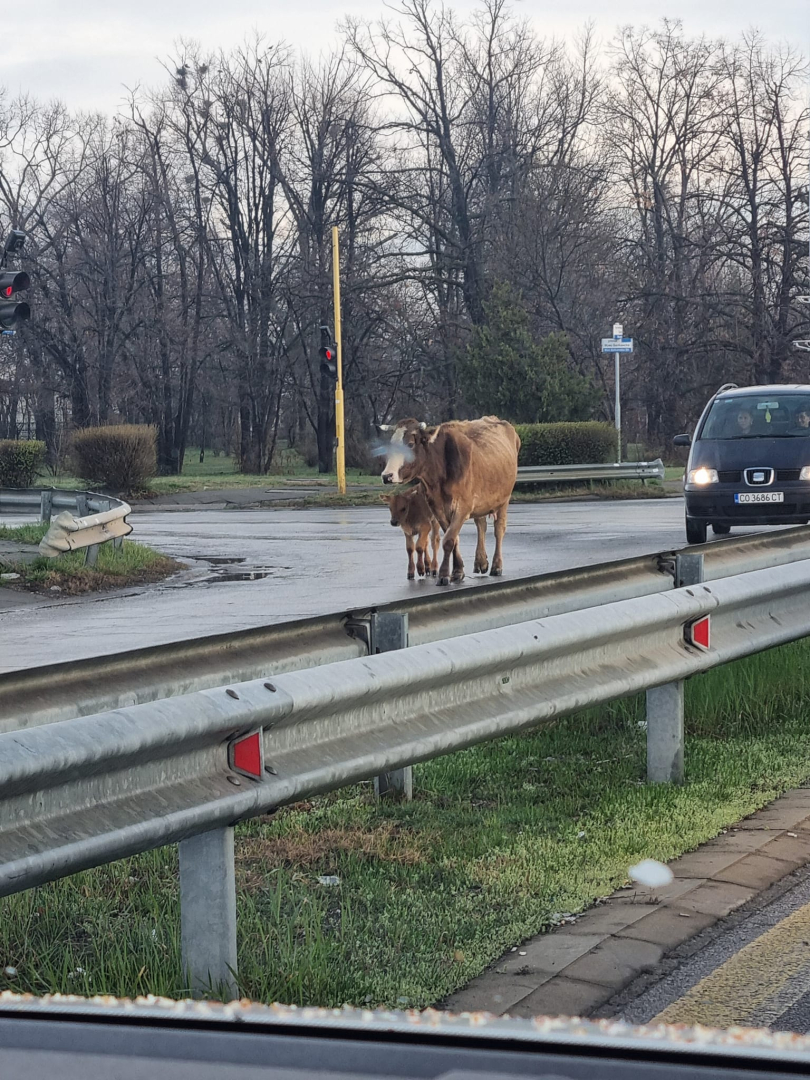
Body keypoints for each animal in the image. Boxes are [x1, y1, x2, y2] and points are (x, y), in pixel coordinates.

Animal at [380, 414, 520, 587]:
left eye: (411, 444)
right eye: (390, 445)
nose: (387, 476)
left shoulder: (463, 507)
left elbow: (448, 540)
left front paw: (444, 574)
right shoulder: (437, 508)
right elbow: (453, 538)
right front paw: (457, 571)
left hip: (504, 499)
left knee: (499, 530)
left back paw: (496, 565)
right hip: (482, 499)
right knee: (481, 525)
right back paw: (481, 561)